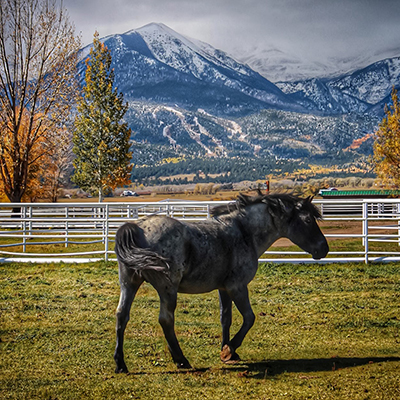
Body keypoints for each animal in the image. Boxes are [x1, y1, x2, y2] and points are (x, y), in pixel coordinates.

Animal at [112, 192, 328, 374]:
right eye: (308, 220)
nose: (324, 249)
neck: (244, 232)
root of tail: (137, 227)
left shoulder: (223, 289)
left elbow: (226, 318)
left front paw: (228, 349)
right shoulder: (237, 287)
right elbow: (249, 318)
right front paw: (228, 350)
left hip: (129, 284)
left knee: (122, 315)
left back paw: (120, 364)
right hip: (167, 290)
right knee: (166, 320)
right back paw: (181, 360)